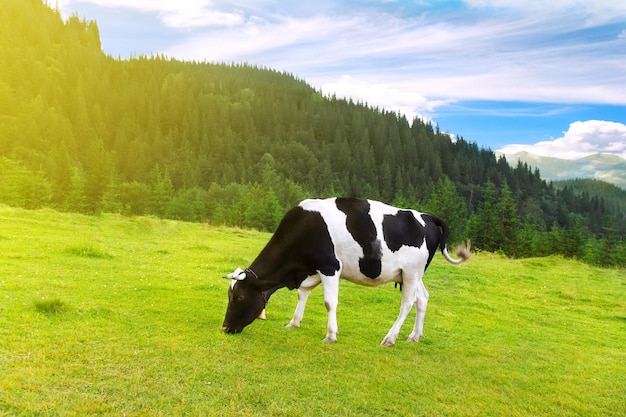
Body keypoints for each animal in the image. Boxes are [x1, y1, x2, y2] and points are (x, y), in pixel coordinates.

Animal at [221, 197, 468, 346]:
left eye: (239, 297)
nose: (224, 327)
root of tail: (427, 216)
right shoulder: (313, 268)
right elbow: (303, 292)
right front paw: (294, 322)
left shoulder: (330, 266)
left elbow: (329, 302)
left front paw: (331, 335)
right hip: (412, 274)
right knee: (422, 298)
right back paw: (414, 336)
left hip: (412, 272)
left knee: (407, 303)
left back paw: (390, 338)